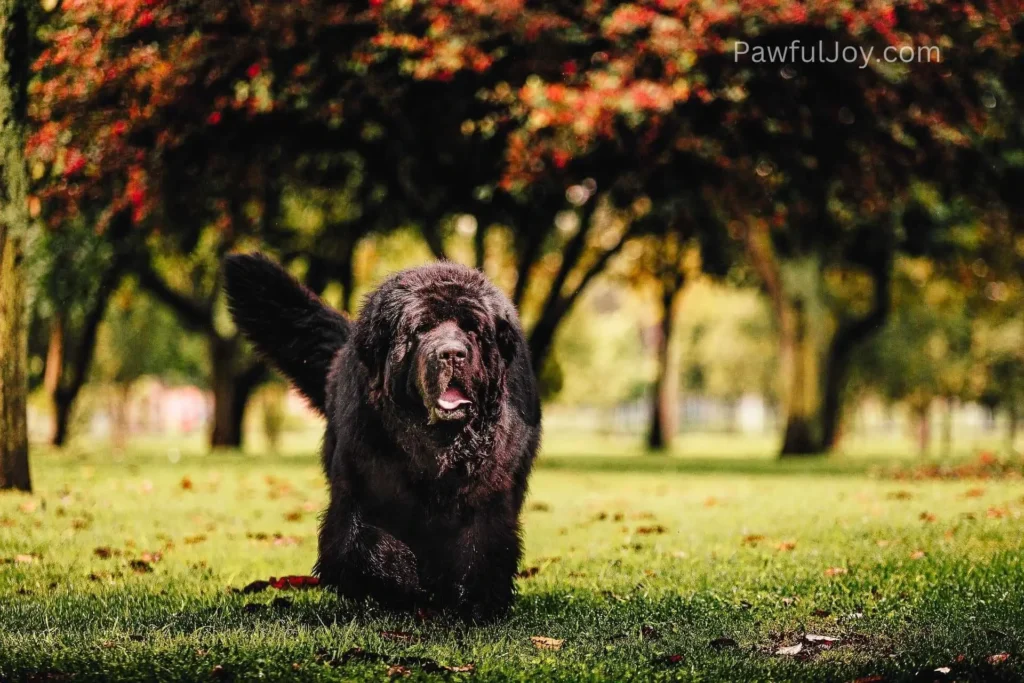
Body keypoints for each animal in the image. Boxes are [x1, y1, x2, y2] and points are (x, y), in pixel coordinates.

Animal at [224, 253, 544, 622]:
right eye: (421, 329)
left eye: (472, 329)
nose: (451, 353)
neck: (437, 447)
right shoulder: (360, 485)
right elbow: (363, 543)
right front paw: (399, 581)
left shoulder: (488, 494)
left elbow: (482, 545)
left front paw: (477, 602)